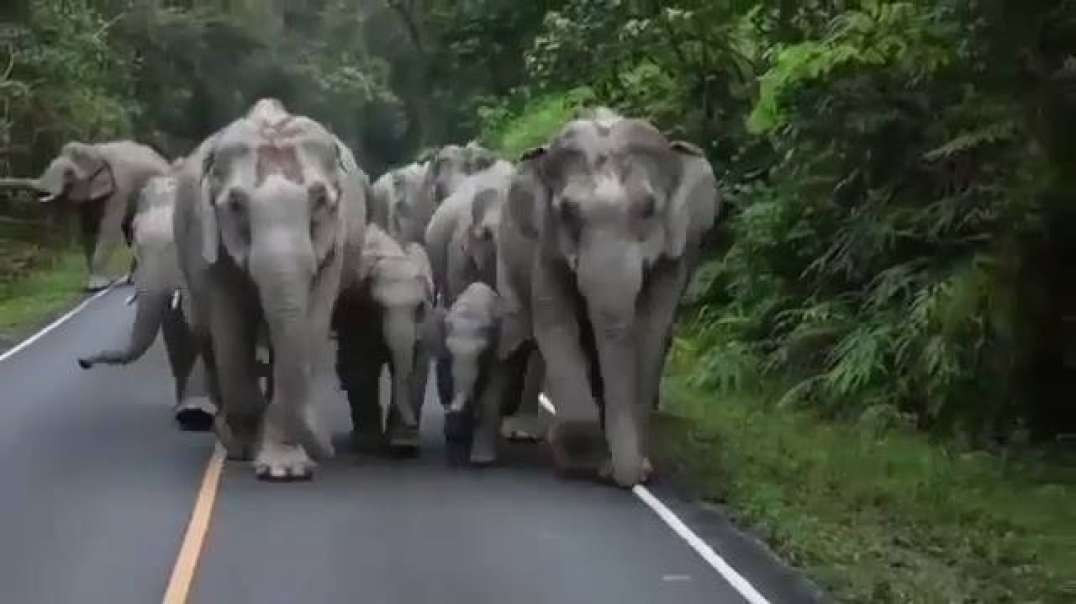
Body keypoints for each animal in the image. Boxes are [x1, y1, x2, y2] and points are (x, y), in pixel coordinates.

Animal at [35, 139, 170, 290]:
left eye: (69, 174)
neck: (96, 152)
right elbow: (88, 230)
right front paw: (92, 285)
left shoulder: (120, 189)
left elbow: (108, 230)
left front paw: (98, 285)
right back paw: (133, 279)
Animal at [170, 96, 367, 478]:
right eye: (235, 205)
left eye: (319, 201)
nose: (327, 451)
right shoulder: (210, 242)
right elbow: (231, 328)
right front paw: (247, 450)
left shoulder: (333, 247)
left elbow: (310, 325)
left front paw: (286, 470)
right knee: (207, 336)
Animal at [335, 223, 436, 454]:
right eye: (378, 307)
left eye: (419, 307)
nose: (412, 423)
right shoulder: (357, 309)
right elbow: (361, 363)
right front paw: (368, 445)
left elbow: (417, 364)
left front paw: (404, 447)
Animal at [497, 107, 723, 484]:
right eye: (568, 211)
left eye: (648, 209)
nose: (624, 478)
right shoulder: (545, 246)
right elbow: (556, 323)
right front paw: (581, 460)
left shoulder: (676, 256)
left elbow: (650, 331)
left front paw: (631, 467)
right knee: (531, 335)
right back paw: (523, 432)